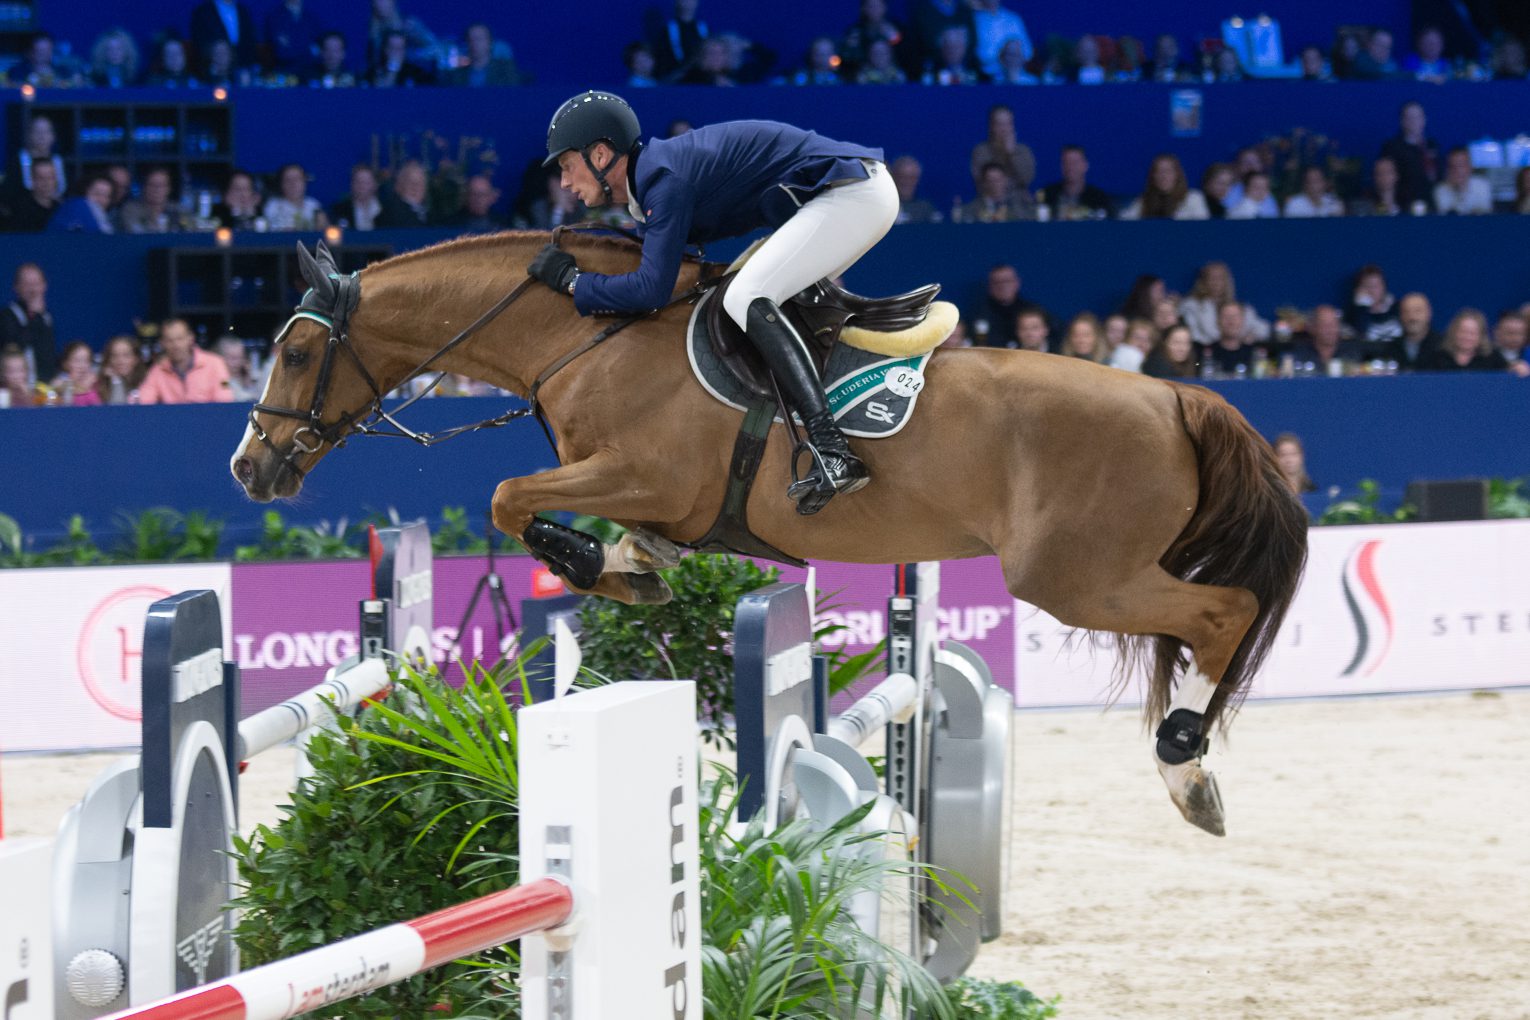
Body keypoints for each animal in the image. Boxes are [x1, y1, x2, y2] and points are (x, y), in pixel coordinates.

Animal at [229, 233, 1308, 836]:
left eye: (295, 352)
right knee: (1213, 621)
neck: (584, 333)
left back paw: (1186, 767)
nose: (249, 468)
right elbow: (588, 523)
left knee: (1227, 613)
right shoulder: (646, 490)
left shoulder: (642, 472)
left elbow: (505, 495)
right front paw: (632, 566)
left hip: (1077, 576)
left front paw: (595, 562)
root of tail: (1177, 393)